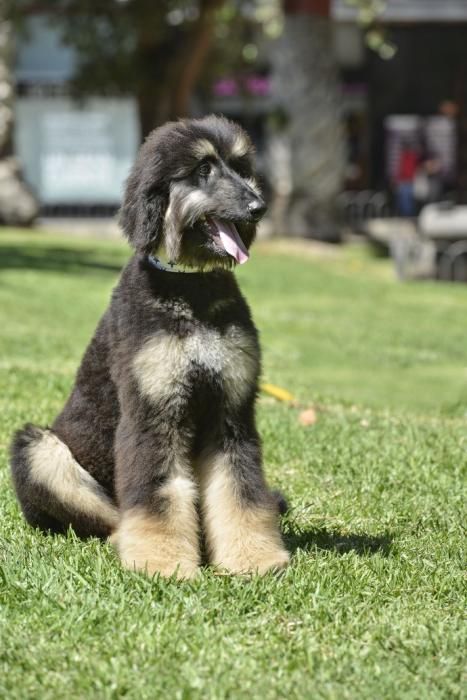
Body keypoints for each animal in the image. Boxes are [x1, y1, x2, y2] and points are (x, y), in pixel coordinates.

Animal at [10, 113, 288, 576]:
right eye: (203, 169)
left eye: (240, 167)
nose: (258, 208)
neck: (190, 290)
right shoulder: (153, 410)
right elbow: (158, 495)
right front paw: (163, 561)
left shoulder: (230, 411)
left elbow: (240, 490)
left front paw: (253, 557)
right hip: (38, 450)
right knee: (108, 514)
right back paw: (127, 539)